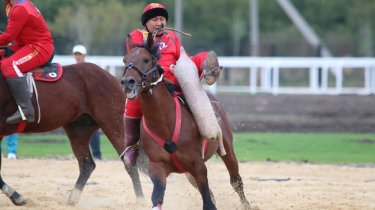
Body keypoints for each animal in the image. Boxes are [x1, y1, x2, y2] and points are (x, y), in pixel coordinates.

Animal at [0, 60, 146, 205]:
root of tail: (111, 76)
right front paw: (15, 195)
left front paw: (16, 196)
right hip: (78, 131)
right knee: (87, 164)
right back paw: (73, 198)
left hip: (114, 124)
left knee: (129, 162)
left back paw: (141, 200)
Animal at [122, 37, 251, 208]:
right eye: (125, 60)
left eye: (146, 59)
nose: (127, 82)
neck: (164, 124)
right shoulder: (157, 168)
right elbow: (157, 199)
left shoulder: (198, 166)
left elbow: (208, 202)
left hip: (227, 149)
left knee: (236, 181)